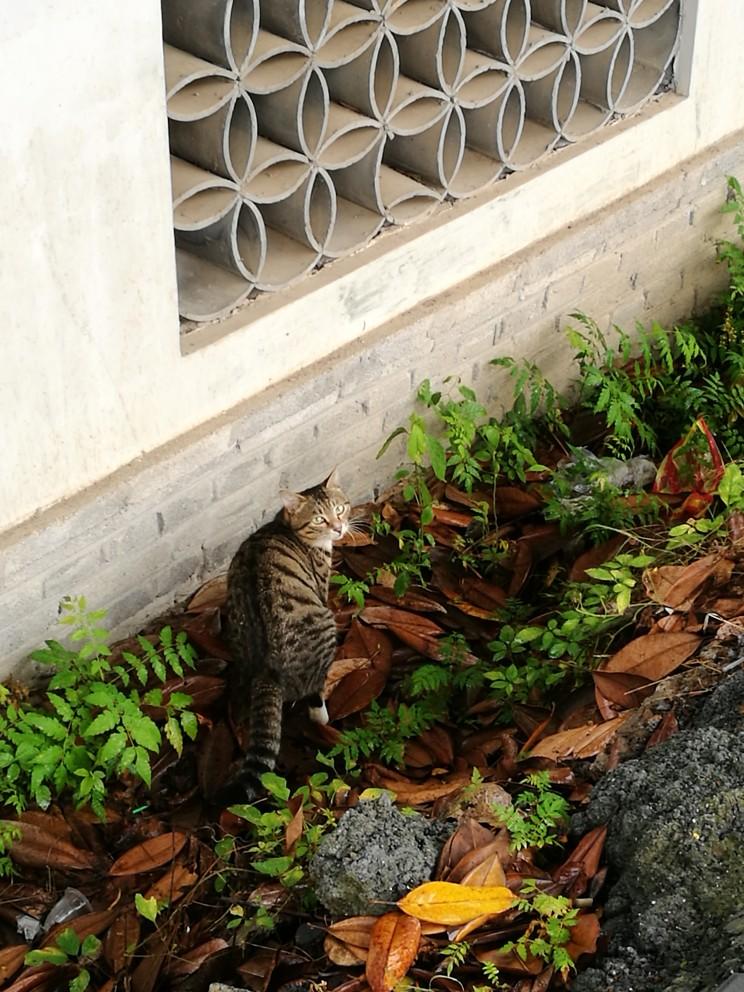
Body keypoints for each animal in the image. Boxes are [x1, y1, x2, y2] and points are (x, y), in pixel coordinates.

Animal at [219, 468, 350, 804]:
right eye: (319, 518)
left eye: (340, 509)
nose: (339, 528)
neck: (284, 525)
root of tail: (267, 667)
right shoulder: (322, 585)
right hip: (325, 627)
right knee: (314, 694)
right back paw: (323, 715)